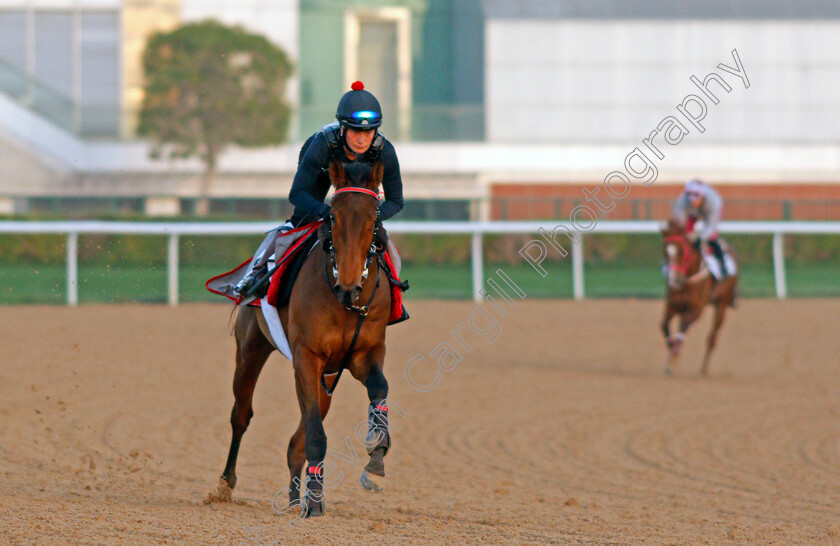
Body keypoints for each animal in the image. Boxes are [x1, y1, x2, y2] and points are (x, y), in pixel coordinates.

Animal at [218, 158, 392, 516]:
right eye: (333, 216)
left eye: (374, 218)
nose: (349, 285)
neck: (344, 301)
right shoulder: (307, 357)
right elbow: (315, 434)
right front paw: (313, 499)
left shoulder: (363, 354)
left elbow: (379, 389)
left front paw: (376, 459)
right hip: (251, 348)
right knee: (241, 414)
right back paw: (227, 483)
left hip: (327, 376)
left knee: (296, 440)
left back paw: (295, 496)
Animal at [660, 217, 740, 374]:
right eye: (665, 251)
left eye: (682, 251)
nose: (674, 280)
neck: (686, 280)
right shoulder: (673, 305)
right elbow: (664, 325)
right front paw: (671, 351)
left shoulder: (697, 309)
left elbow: (683, 325)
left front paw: (674, 356)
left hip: (722, 304)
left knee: (712, 337)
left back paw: (704, 370)